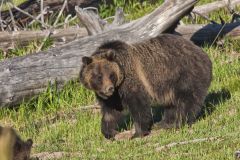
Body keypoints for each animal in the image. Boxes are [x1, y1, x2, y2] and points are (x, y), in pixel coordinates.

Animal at [80, 33, 212, 139]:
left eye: (111, 75)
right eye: (99, 76)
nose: (109, 88)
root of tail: (203, 53)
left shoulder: (131, 82)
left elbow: (139, 107)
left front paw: (137, 133)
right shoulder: (113, 97)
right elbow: (110, 112)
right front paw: (109, 132)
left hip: (184, 74)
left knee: (186, 101)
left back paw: (178, 122)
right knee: (172, 104)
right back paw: (164, 122)